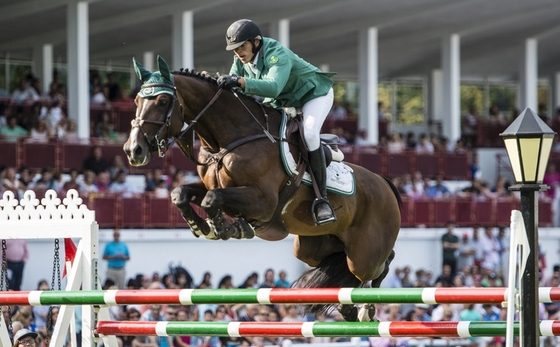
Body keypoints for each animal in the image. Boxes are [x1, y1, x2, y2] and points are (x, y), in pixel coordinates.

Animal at [123, 55, 402, 322]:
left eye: (161, 101)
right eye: (136, 99)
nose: (133, 150)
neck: (228, 141)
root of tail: (386, 183)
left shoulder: (263, 201)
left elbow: (212, 198)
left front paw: (226, 227)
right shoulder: (213, 185)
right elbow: (180, 193)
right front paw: (202, 226)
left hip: (365, 254)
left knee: (380, 264)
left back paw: (366, 308)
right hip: (312, 247)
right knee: (342, 268)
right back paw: (348, 308)